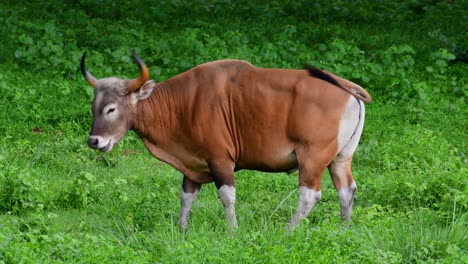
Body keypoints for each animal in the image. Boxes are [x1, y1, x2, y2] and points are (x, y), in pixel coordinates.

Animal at [81, 51, 372, 229]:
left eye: (111, 109)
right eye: (93, 108)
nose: (94, 141)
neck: (183, 104)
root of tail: (346, 87)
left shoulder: (220, 159)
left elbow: (227, 196)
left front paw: (232, 230)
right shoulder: (193, 163)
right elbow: (186, 197)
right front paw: (182, 230)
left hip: (312, 157)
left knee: (310, 195)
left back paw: (289, 230)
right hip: (341, 158)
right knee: (347, 190)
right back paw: (344, 228)